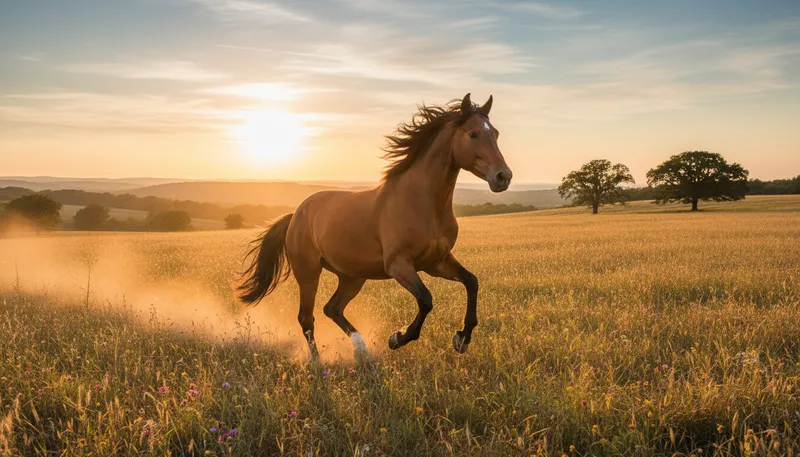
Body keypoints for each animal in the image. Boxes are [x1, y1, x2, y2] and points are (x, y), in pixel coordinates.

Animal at [238, 93, 512, 358]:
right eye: (473, 133)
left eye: (496, 133)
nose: (503, 177)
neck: (422, 203)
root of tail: (295, 215)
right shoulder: (399, 265)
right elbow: (426, 299)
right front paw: (398, 338)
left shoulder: (437, 261)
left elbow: (471, 282)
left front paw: (461, 339)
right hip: (308, 272)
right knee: (307, 318)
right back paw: (317, 362)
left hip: (352, 276)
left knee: (332, 308)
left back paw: (362, 349)